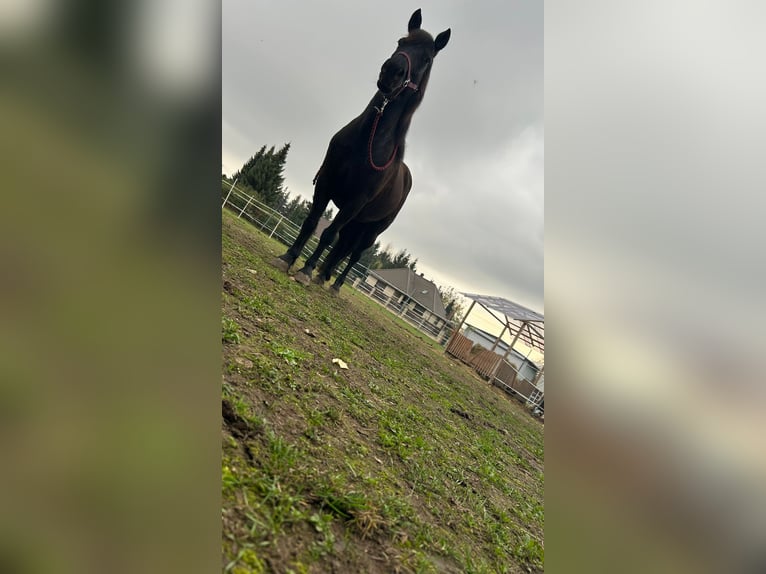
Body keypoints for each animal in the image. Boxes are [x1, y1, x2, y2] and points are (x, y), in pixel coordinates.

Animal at [272, 8, 450, 288]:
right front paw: (288, 257)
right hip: (357, 222)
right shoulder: (326, 181)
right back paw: (325, 275)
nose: (392, 72)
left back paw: (335, 284)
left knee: (353, 254)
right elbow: (311, 223)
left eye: (427, 59)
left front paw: (306, 270)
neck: (366, 143)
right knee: (343, 246)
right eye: (401, 42)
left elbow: (328, 234)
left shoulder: (356, 201)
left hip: (372, 229)